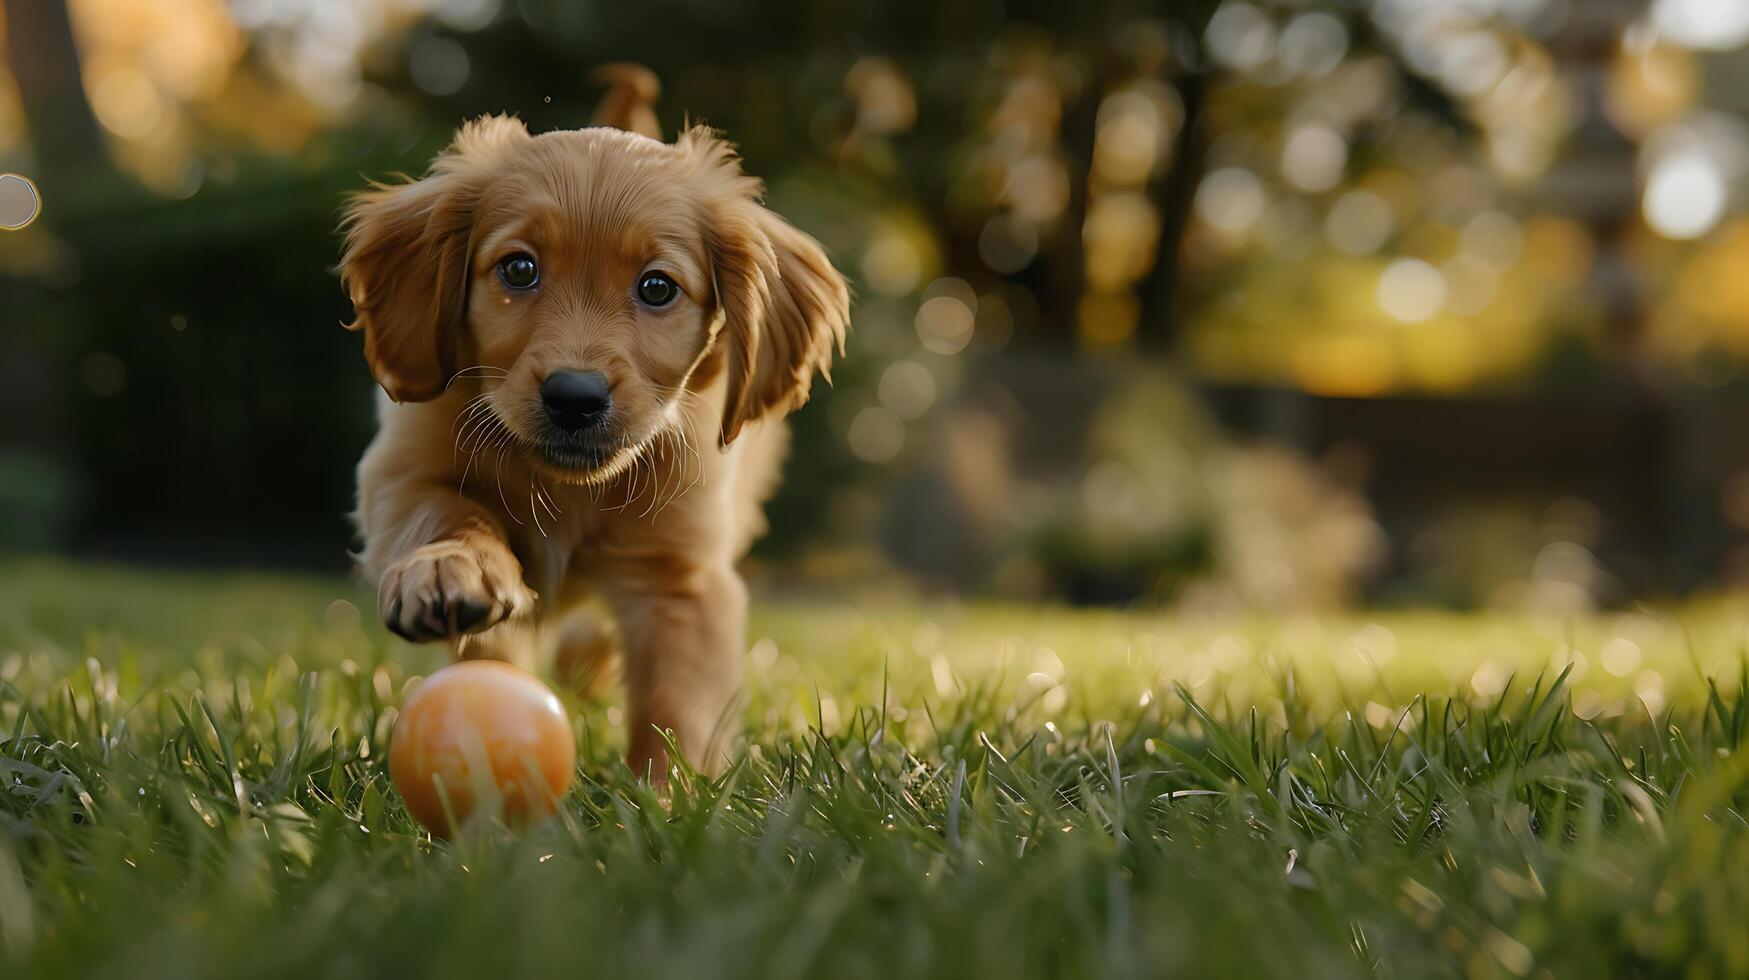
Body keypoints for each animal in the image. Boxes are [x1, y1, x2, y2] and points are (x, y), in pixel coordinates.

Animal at [337, 112, 850, 773]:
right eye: (519, 269)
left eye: (657, 287)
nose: (574, 398)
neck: (568, 488)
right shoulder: (398, 469)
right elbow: (441, 510)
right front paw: (452, 567)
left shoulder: (682, 578)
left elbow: (676, 710)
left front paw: (666, 793)